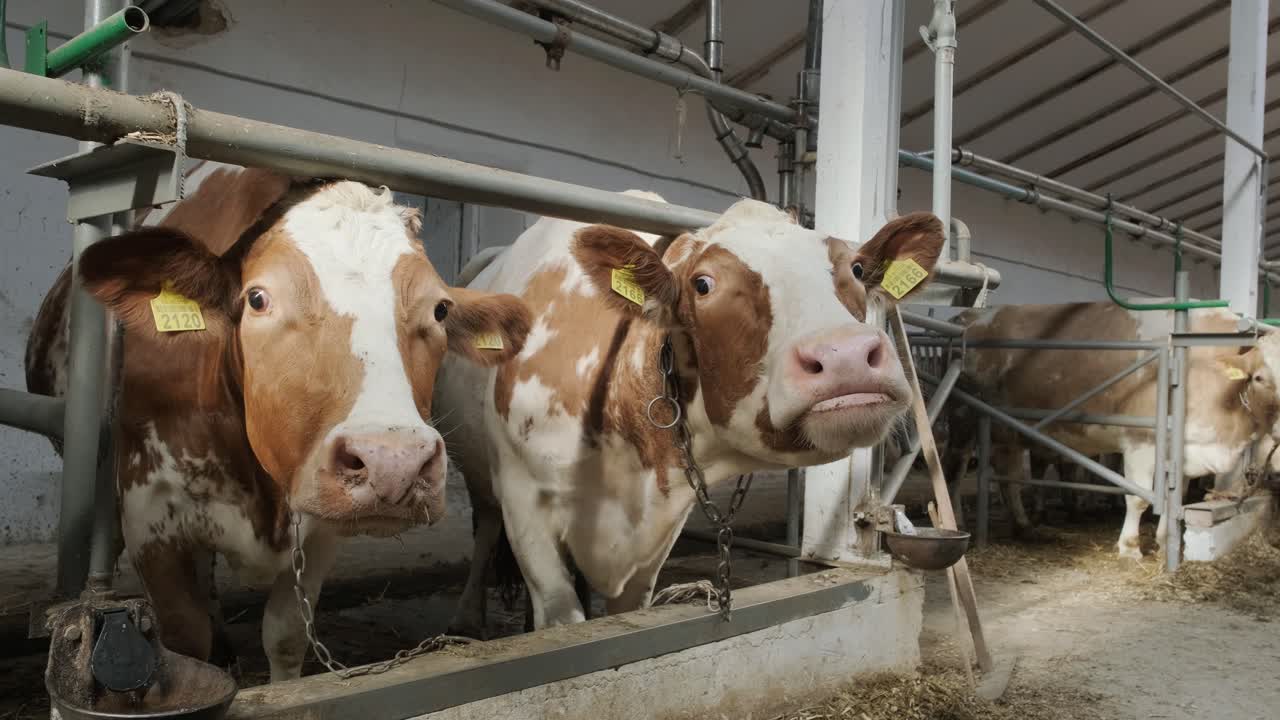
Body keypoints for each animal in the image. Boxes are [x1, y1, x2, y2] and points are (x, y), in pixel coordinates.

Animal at [24, 167, 531, 681]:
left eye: (441, 309)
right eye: (258, 298)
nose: (394, 465)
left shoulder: (318, 529)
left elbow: (285, 637)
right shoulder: (151, 518)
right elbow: (187, 638)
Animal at [434, 194, 946, 633]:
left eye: (856, 268)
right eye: (703, 283)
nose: (846, 355)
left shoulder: (658, 532)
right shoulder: (526, 503)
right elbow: (562, 617)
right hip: (481, 472)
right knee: (485, 529)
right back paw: (465, 619)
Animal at [950, 302, 1280, 560]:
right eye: (1260, 377)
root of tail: (975, 316)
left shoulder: (1185, 448)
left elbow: (1176, 495)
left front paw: (1164, 543)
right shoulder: (1140, 442)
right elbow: (1139, 498)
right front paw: (1130, 547)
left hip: (1007, 431)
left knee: (1009, 477)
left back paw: (1024, 526)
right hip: (966, 417)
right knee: (956, 464)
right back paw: (958, 521)